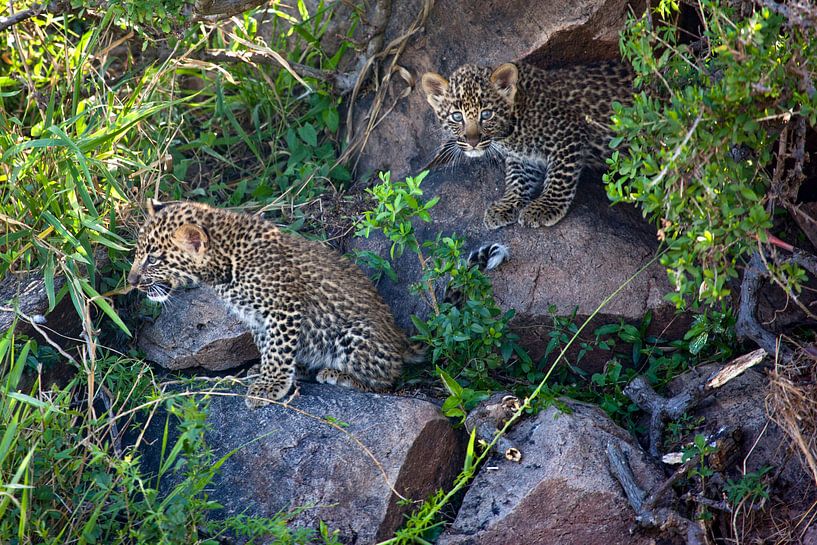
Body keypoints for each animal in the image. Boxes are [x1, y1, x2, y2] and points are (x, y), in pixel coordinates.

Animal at [127, 200, 422, 409]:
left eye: (153, 259)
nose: (130, 281)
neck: (223, 264)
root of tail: (399, 339)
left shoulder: (284, 306)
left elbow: (279, 350)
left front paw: (269, 387)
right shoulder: (255, 317)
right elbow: (266, 345)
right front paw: (265, 372)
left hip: (354, 335)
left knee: (388, 380)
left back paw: (339, 375)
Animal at [421, 60, 633, 229]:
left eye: (486, 114)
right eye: (457, 117)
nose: (473, 142)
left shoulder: (570, 132)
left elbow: (560, 176)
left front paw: (545, 207)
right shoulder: (523, 157)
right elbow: (516, 178)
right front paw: (507, 205)